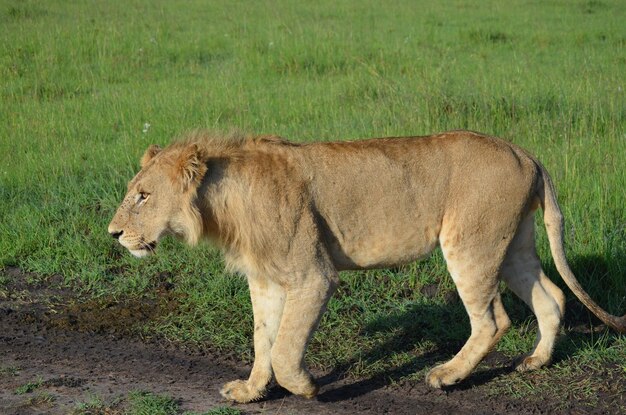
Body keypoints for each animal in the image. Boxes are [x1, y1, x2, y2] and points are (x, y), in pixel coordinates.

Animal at [108, 129, 624, 404]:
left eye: (143, 195)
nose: (113, 234)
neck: (220, 202)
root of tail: (525, 152)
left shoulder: (313, 276)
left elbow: (284, 347)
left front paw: (306, 387)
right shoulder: (266, 281)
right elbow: (262, 340)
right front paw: (252, 390)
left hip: (469, 244)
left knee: (493, 320)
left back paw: (447, 375)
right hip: (511, 243)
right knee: (551, 297)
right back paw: (536, 361)